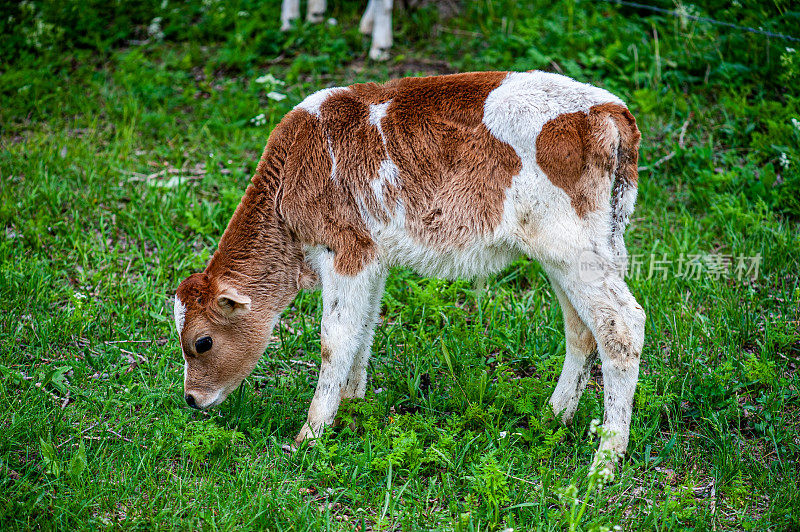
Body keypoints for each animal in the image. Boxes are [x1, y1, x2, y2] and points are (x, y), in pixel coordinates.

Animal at [173, 70, 644, 470]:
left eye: (202, 342)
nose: (191, 399)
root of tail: (607, 107)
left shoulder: (346, 250)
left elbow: (333, 340)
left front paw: (310, 433)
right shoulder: (374, 258)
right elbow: (363, 329)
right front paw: (353, 403)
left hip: (574, 250)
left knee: (623, 324)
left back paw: (605, 460)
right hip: (570, 254)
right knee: (581, 329)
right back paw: (553, 416)